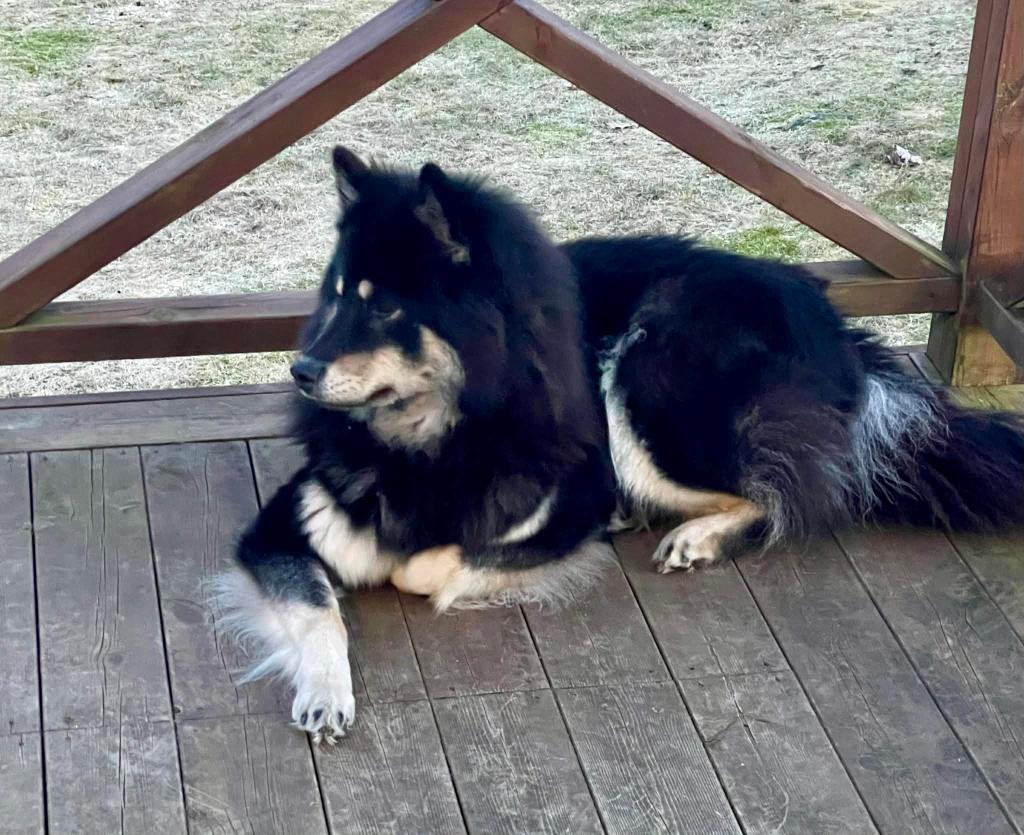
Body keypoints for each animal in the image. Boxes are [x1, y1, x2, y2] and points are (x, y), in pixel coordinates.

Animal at [214, 147, 1024, 744]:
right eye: (336, 296)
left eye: (385, 308)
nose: (301, 370)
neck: (433, 440)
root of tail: (834, 321)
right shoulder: (280, 530)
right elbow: (319, 606)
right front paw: (326, 690)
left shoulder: (564, 505)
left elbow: (427, 570)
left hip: (640, 376)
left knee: (783, 494)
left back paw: (691, 534)